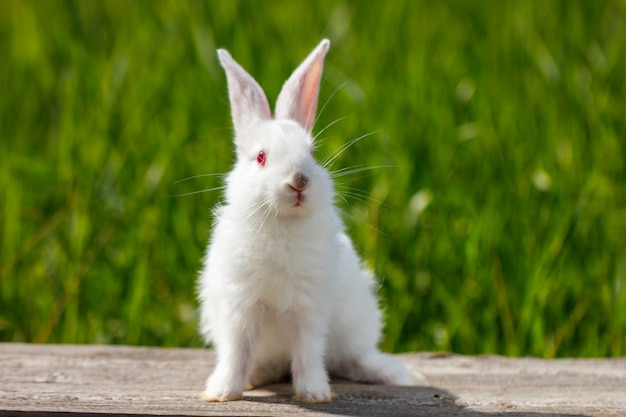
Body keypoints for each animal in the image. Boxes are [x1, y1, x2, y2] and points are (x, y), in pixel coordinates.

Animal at [199, 39, 414, 404]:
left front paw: (314, 393)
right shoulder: (238, 307)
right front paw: (222, 392)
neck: (282, 223)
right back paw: (255, 378)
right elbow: (235, 352)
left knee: (354, 358)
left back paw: (395, 375)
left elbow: (307, 351)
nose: (298, 180)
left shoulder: (308, 308)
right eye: (261, 157)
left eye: (312, 153)